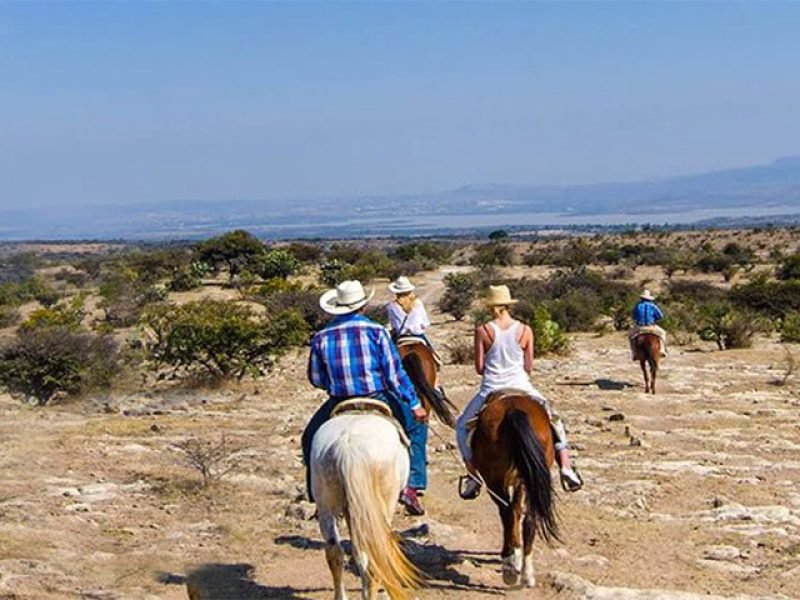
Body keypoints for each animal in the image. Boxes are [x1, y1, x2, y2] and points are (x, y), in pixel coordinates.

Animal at [468, 392, 556, 588]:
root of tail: (513, 410)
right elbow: (516, 511)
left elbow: (510, 512)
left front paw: (513, 554)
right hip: (528, 477)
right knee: (529, 519)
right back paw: (526, 574)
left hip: (494, 479)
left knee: (507, 513)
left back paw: (509, 567)